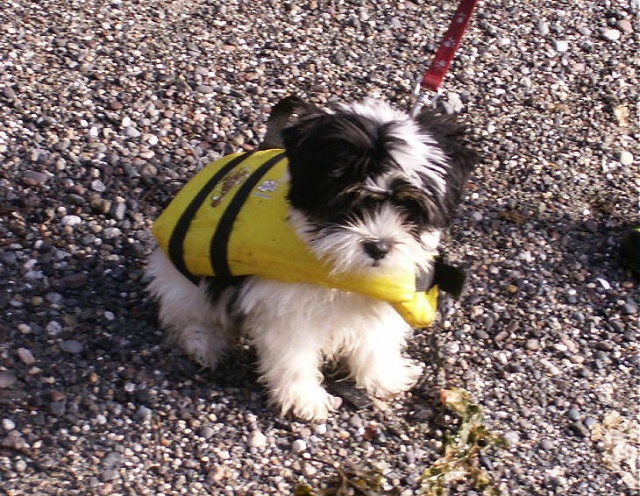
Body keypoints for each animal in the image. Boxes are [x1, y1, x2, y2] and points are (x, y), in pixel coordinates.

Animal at [146, 98, 476, 422]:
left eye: (410, 207)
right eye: (347, 200)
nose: (379, 246)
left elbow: (376, 340)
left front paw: (383, 377)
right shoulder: (284, 309)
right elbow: (292, 354)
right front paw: (303, 398)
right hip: (185, 280)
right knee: (187, 312)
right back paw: (204, 343)